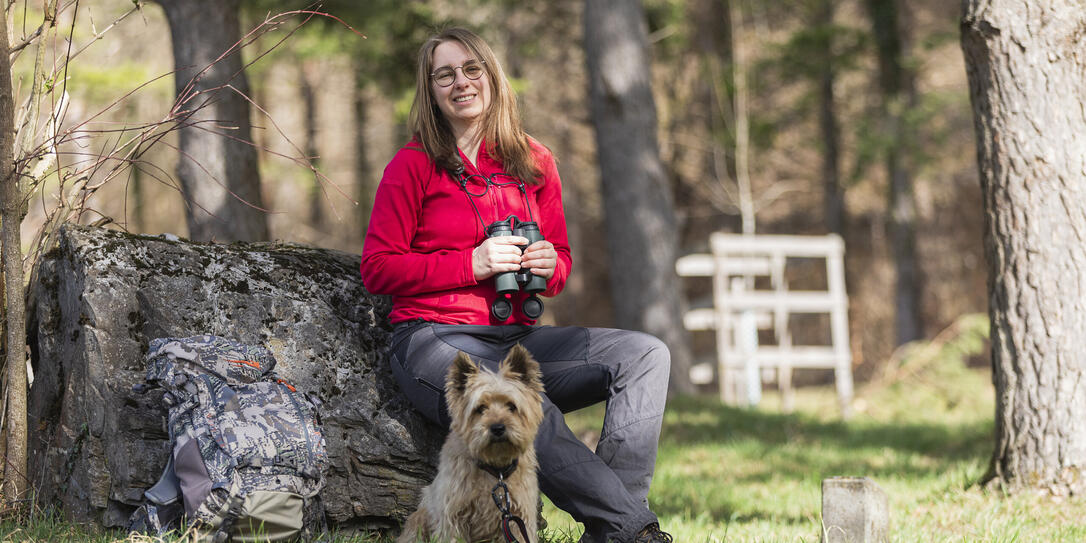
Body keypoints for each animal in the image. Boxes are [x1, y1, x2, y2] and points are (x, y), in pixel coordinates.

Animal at [399, 345, 547, 540]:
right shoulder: (453, 516)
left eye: (512, 406)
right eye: (480, 408)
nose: (497, 427)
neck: (495, 469)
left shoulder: (518, 517)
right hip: (420, 518)